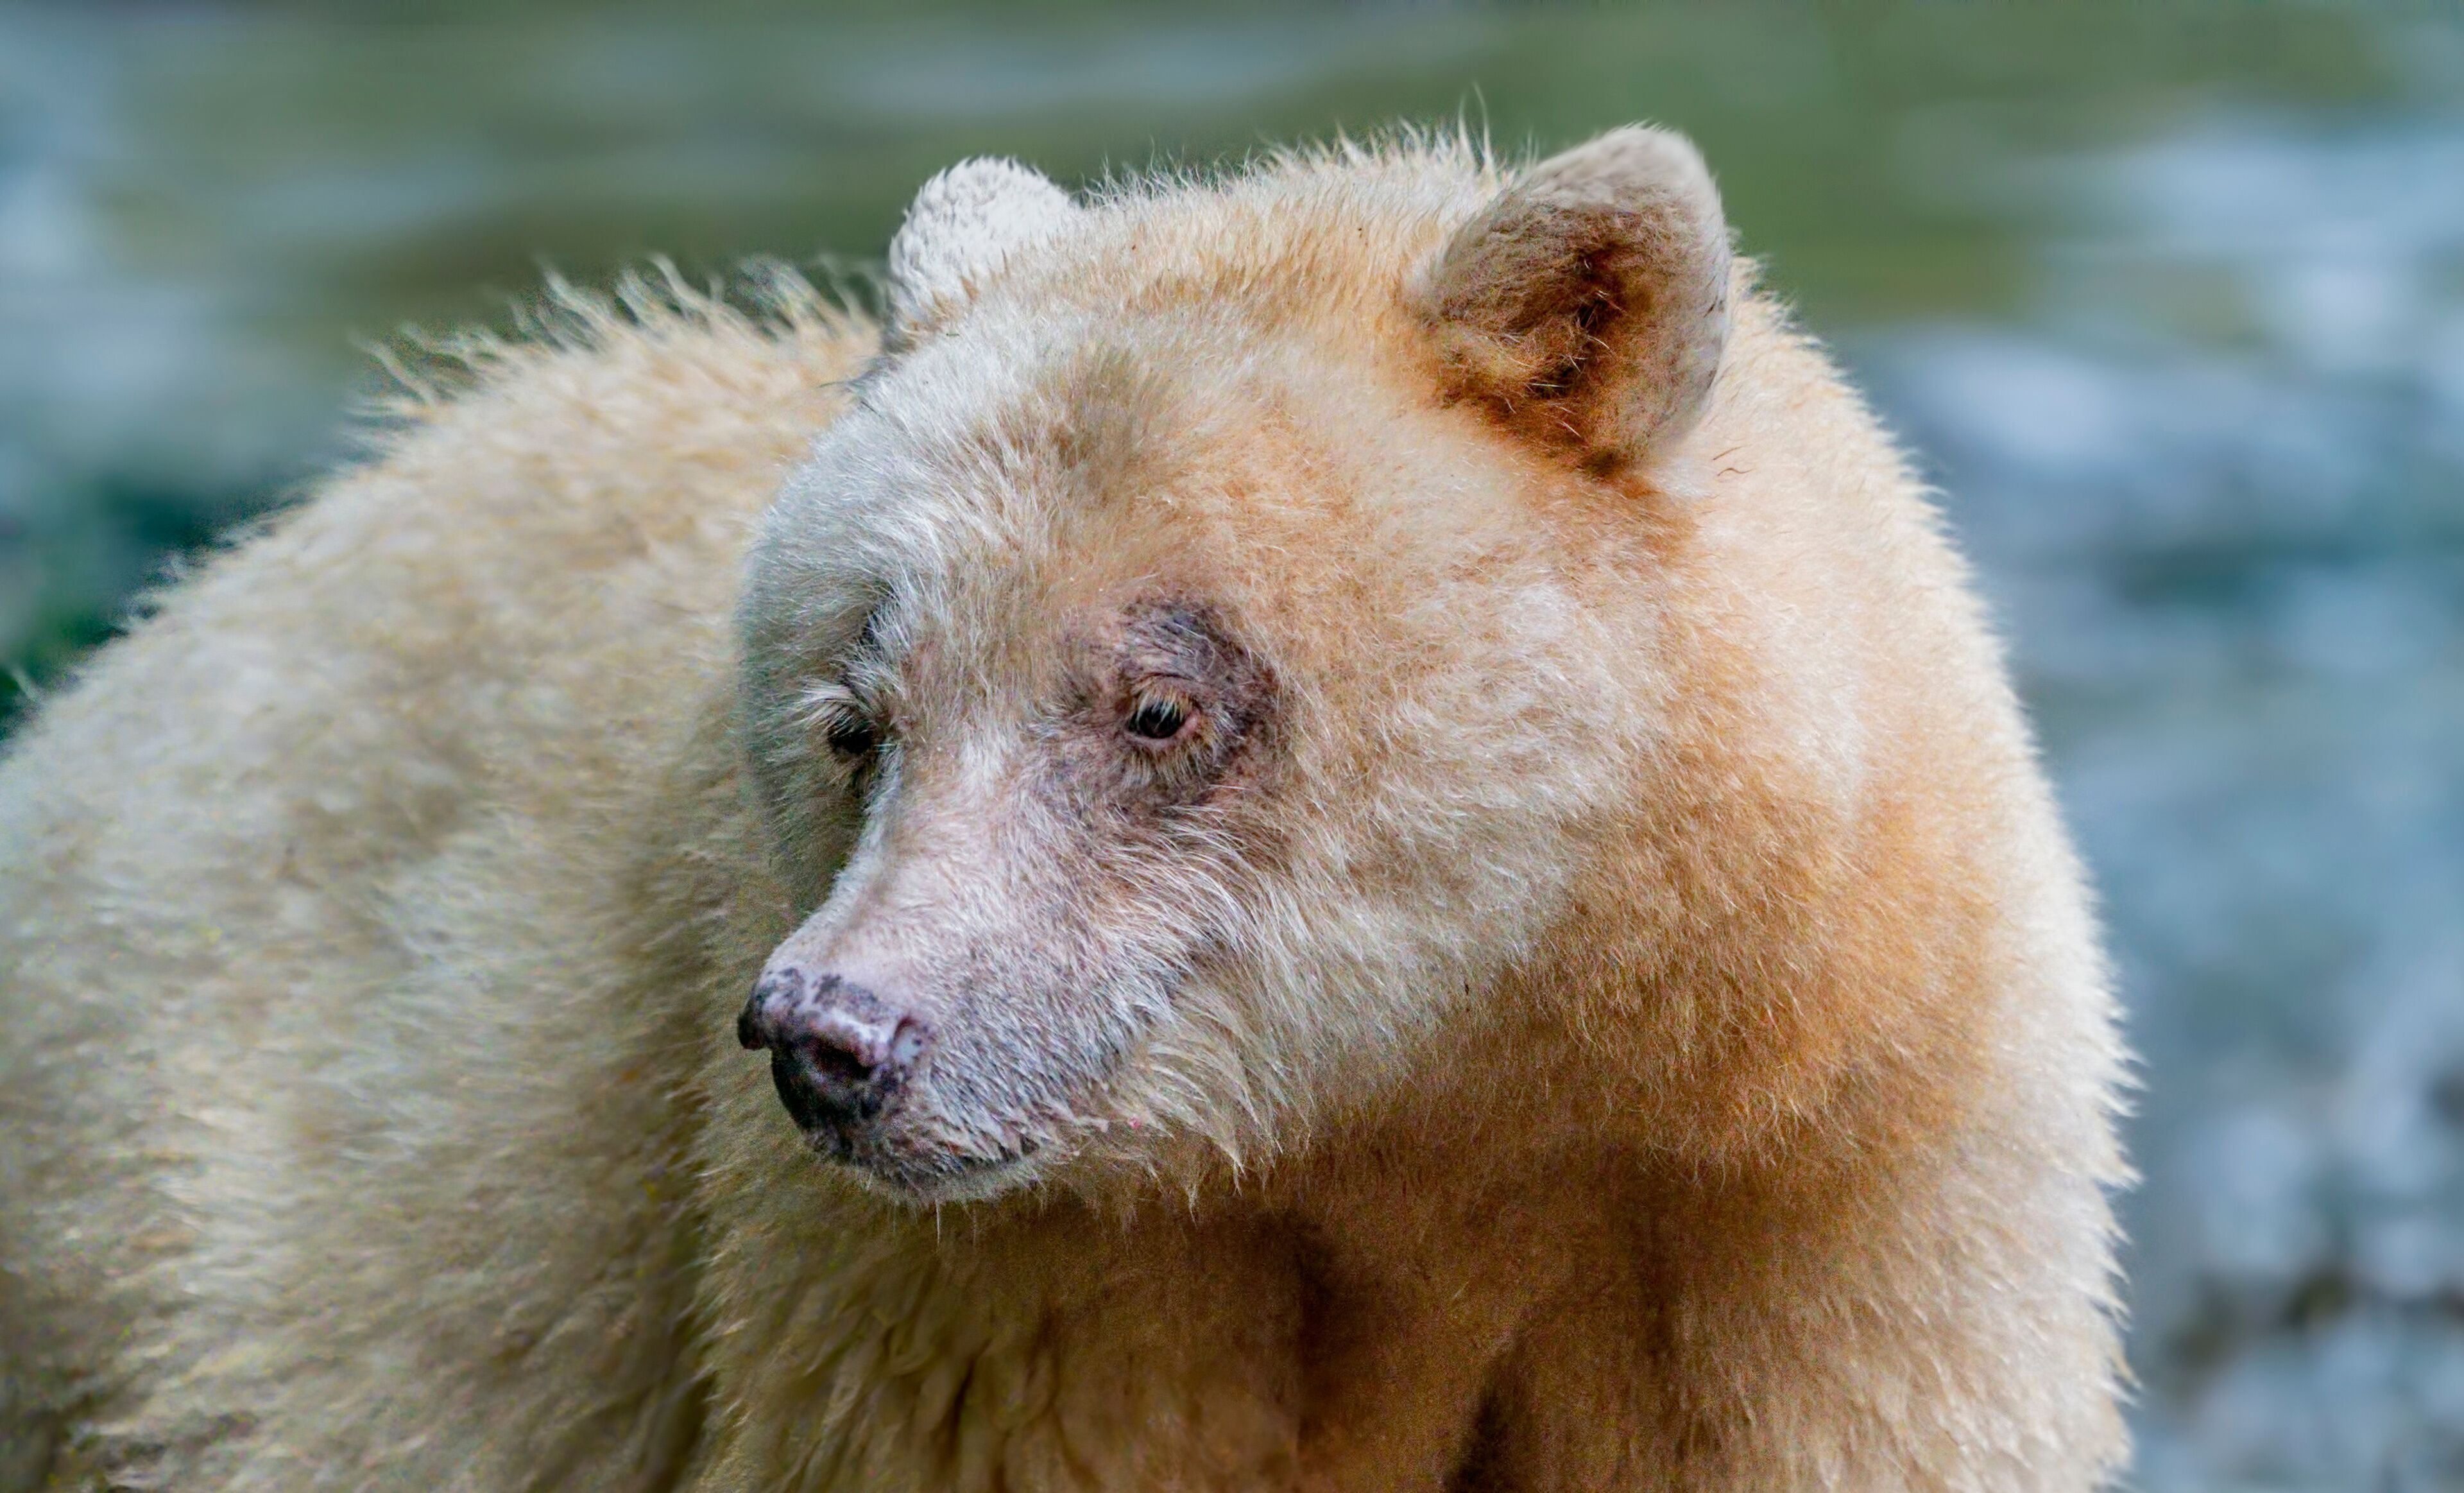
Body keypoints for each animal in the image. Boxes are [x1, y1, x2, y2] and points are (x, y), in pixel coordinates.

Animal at [0, 125, 2129, 1491]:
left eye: (1159, 701)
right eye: (853, 716)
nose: (829, 1033)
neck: (1466, 1106)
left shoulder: (1814, 1180)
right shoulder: (1007, 1292)